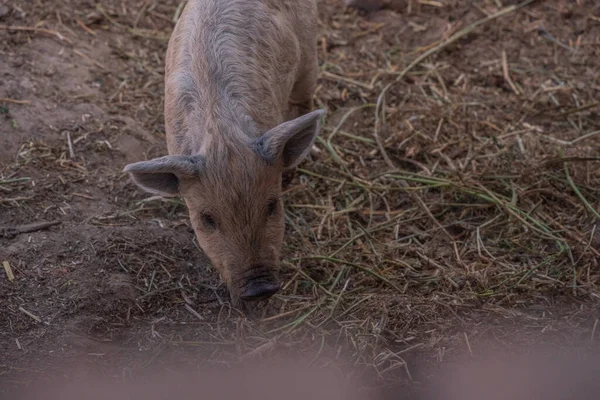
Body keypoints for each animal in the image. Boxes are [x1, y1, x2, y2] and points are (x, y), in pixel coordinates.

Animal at [122, 0, 326, 304]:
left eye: (272, 206)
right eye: (207, 219)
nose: (259, 289)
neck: (221, 135)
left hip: (309, 49)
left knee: (304, 97)